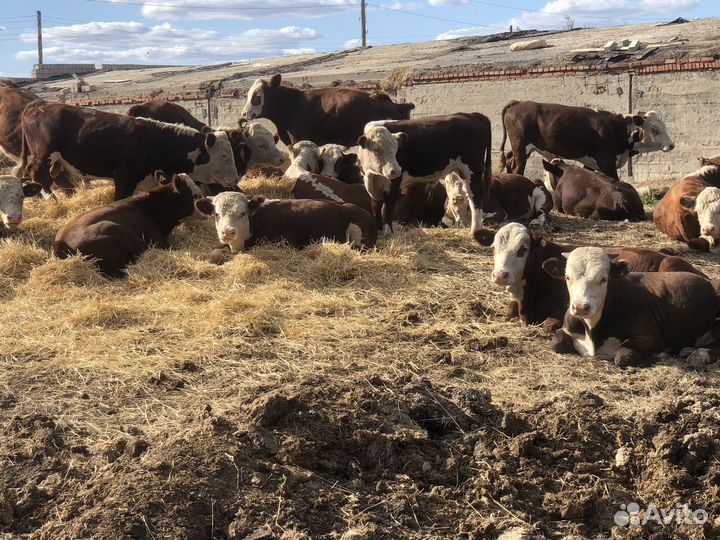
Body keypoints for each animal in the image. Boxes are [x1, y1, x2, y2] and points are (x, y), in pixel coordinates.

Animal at [16, 101, 226, 200]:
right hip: (44, 154)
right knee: (37, 173)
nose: (230, 183)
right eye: (222, 156)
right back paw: (52, 200)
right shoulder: (124, 177)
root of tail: (40, 105)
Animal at [354, 114, 494, 243]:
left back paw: (475, 230)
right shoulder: (372, 185)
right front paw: (378, 229)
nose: (396, 170)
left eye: (396, 149)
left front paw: (388, 234)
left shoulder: (393, 184)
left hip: (472, 170)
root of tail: (473, 115)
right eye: (377, 150)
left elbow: (386, 210)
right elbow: (375, 207)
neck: (373, 175)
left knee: (475, 198)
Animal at [490, 222, 707, 334]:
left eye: (523, 249)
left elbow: (549, 325)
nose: (500, 275)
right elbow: (509, 311)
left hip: (670, 264)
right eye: (493, 248)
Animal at [499, 101, 674, 180]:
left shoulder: (591, 161)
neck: (620, 128)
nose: (671, 145)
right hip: (520, 145)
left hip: (524, 148)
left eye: (665, 126)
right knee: (518, 167)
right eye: (655, 130)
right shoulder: (607, 162)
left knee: (509, 160)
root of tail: (519, 103)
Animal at [543, 247, 720, 368]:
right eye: (567, 277)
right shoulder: (567, 328)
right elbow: (557, 342)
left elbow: (622, 356)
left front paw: (659, 355)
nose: (581, 307)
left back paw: (699, 354)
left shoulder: (650, 336)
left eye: (603, 279)